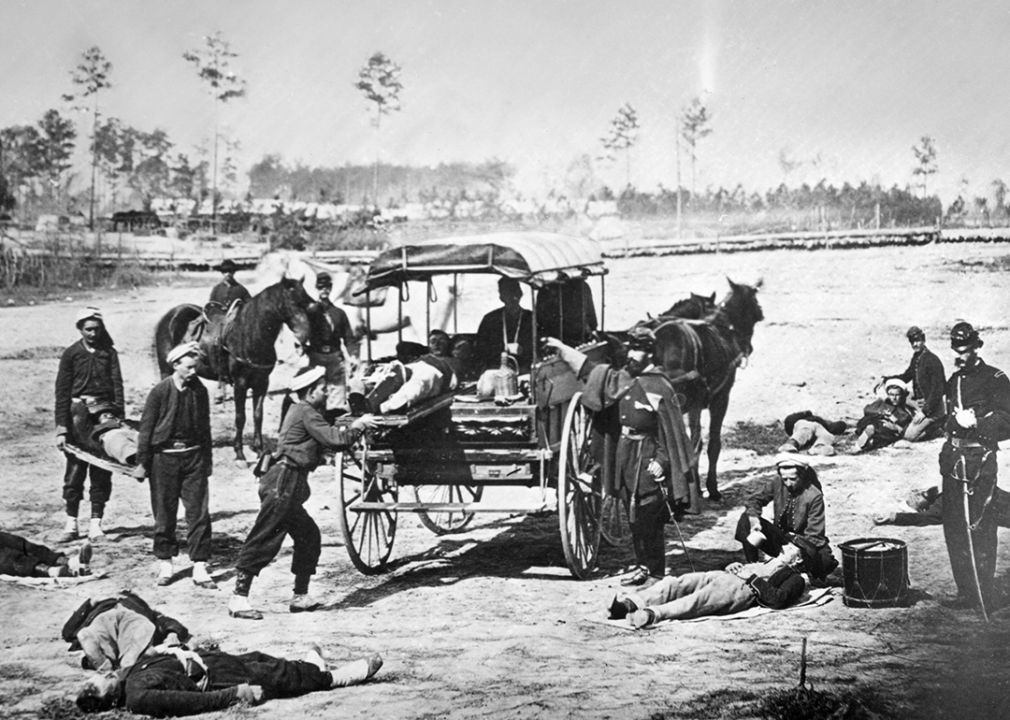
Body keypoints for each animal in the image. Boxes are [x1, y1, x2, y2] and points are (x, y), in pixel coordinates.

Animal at [151, 274, 311, 466]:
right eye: (292, 302)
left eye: (308, 302)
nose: (304, 338)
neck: (249, 336)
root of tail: (171, 316)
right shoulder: (240, 384)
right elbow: (240, 417)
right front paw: (240, 455)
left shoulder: (262, 383)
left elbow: (258, 415)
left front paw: (259, 450)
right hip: (166, 370)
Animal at [650, 278, 759, 500]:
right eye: (755, 307)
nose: (748, 349)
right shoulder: (719, 399)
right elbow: (710, 444)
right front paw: (711, 488)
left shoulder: (695, 406)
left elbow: (695, 442)